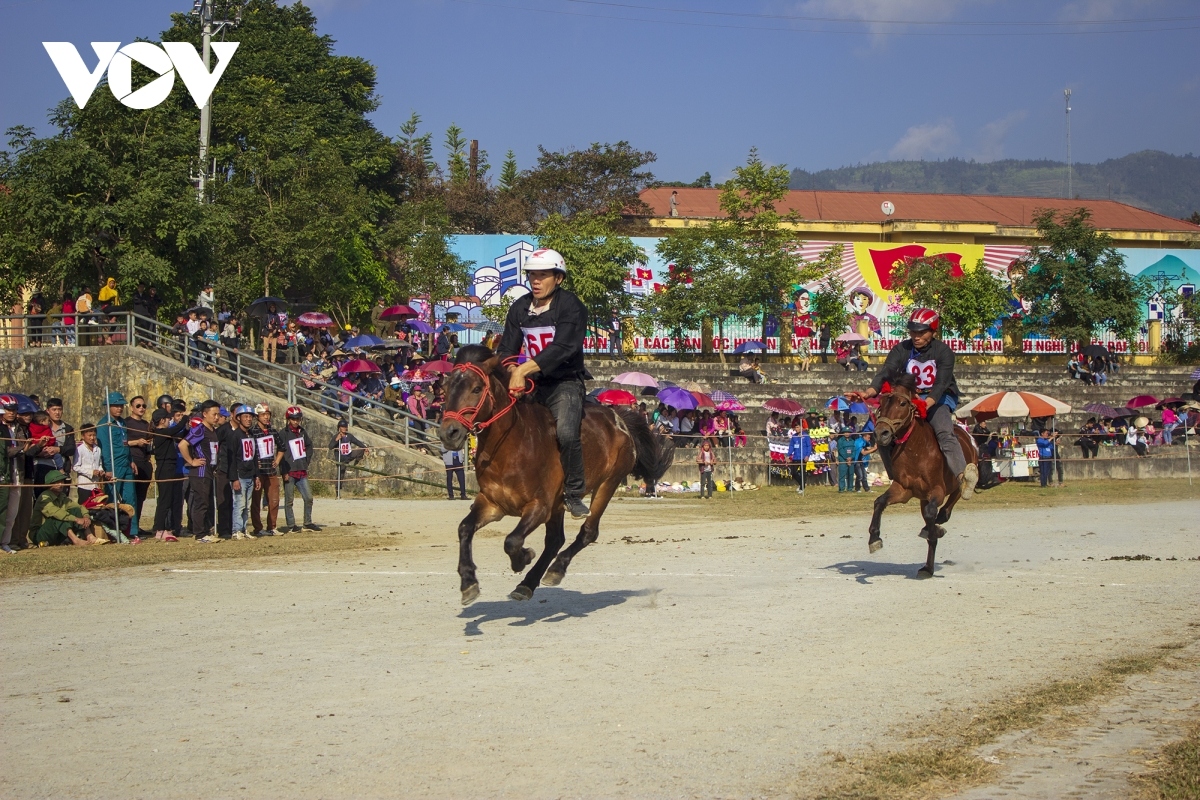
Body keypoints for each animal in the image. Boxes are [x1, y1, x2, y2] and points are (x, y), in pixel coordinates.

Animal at [436, 345, 676, 606]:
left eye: (477, 388)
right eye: (445, 389)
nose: (449, 433)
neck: (511, 445)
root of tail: (619, 419)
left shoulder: (539, 506)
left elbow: (512, 541)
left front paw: (523, 558)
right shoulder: (492, 503)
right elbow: (465, 529)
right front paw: (468, 583)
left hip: (607, 484)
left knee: (587, 532)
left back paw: (555, 569)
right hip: (559, 504)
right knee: (554, 541)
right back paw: (528, 583)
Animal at [868, 371, 979, 578]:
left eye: (902, 403)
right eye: (882, 402)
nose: (881, 433)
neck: (917, 451)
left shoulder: (937, 490)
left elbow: (931, 516)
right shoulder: (903, 489)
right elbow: (879, 502)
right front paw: (874, 538)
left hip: (959, 479)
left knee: (953, 499)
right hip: (921, 497)